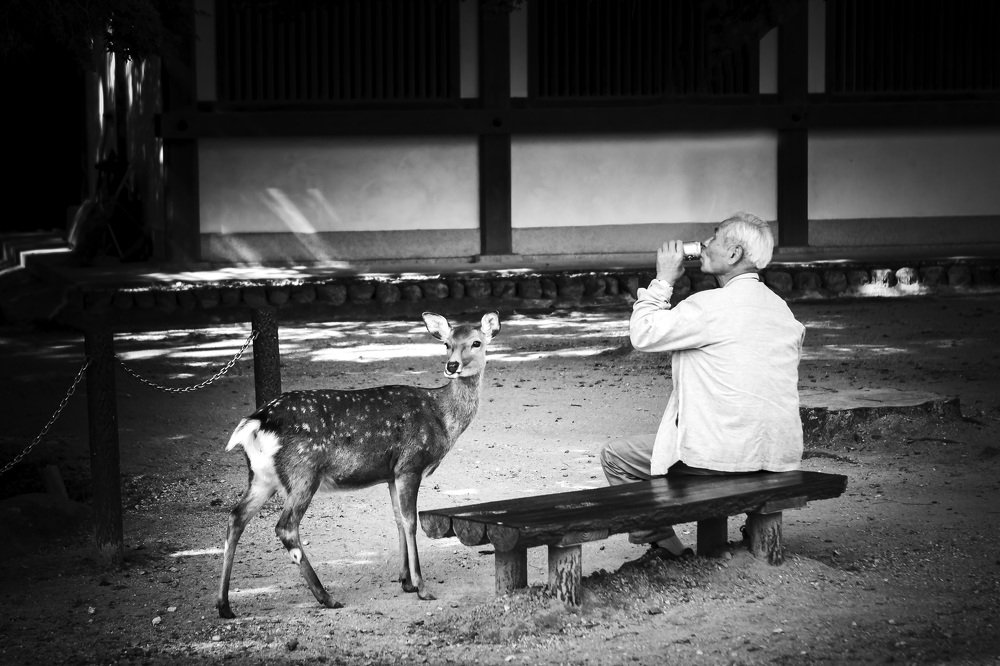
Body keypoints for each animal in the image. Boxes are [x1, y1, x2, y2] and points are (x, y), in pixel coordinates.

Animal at [216, 311, 501, 618]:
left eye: (476, 342)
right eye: (447, 344)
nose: (452, 365)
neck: (441, 417)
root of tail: (257, 421)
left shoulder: (391, 473)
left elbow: (397, 519)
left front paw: (405, 581)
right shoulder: (410, 464)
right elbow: (411, 522)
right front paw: (421, 587)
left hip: (261, 477)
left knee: (236, 517)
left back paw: (224, 605)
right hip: (303, 472)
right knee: (286, 527)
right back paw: (326, 597)